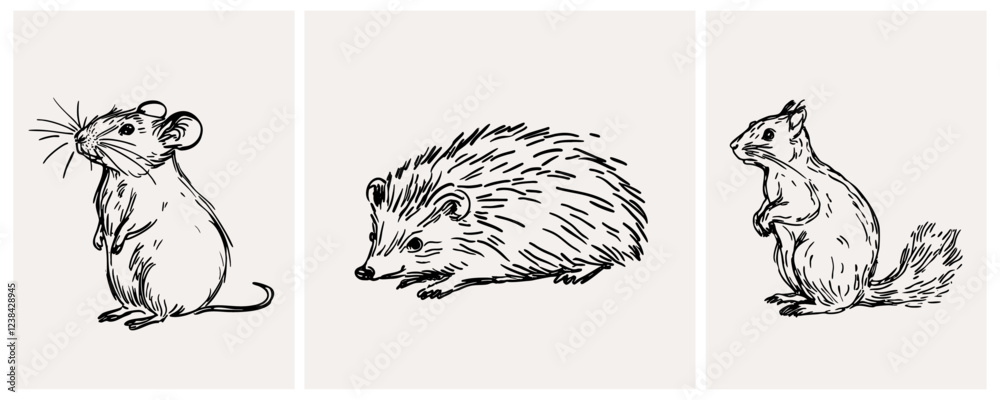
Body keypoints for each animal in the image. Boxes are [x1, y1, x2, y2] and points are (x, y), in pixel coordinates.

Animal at [729, 100, 963, 316]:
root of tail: (861, 290)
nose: (733, 145)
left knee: (834, 305)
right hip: (784, 259)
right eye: (751, 123)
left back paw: (804, 307)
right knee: (808, 293)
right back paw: (788, 297)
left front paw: (765, 219)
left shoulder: (805, 194)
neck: (777, 169)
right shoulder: (770, 194)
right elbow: (765, 205)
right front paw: (758, 220)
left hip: (810, 259)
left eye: (769, 134)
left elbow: (797, 209)